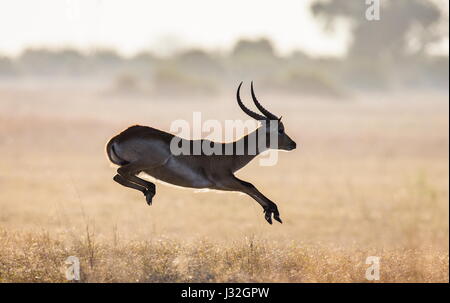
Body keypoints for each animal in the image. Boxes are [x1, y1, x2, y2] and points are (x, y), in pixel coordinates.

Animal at [105, 82, 296, 224]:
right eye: (280, 129)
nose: (293, 144)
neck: (229, 154)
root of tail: (119, 137)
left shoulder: (223, 183)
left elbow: (249, 187)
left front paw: (269, 212)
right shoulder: (223, 181)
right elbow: (249, 185)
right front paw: (273, 212)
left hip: (138, 169)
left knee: (118, 177)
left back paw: (148, 192)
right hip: (148, 163)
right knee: (122, 173)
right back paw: (150, 191)